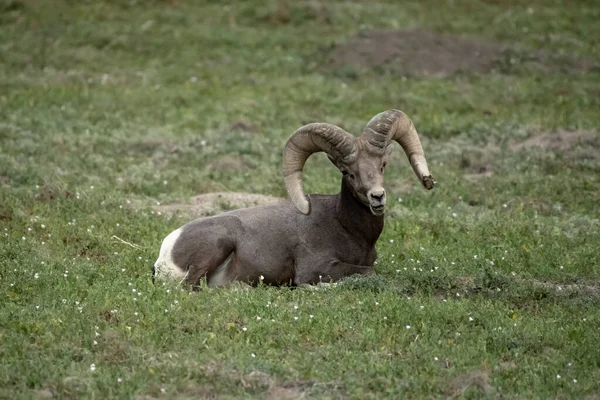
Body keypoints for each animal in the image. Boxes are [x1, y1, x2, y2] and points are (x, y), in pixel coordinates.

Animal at [155, 109, 434, 288]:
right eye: (348, 172)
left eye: (382, 165)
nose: (377, 197)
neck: (348, 229)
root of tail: (166, 252)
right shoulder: (316, 268)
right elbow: (367, 271)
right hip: (217, 245)